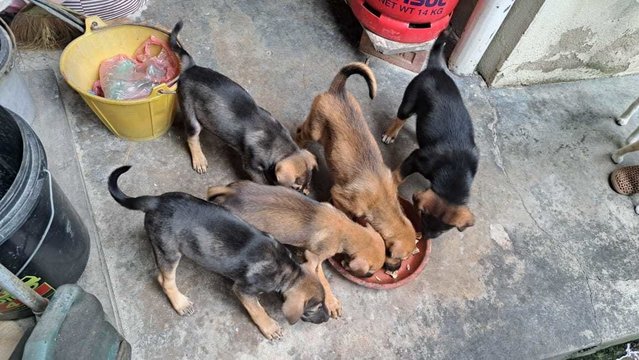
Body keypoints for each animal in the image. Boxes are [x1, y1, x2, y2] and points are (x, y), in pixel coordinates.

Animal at [107, 167, 328, 340]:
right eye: (316, 309)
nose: (327, 319)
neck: (288, 271)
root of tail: (156, 202)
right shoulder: (244, 290)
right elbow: (257, 309)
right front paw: (269, 326)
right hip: (169, 250)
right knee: (165, 279)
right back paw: (180, 303)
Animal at [169, 21, 316, 193]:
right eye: (295, 187)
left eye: (308, 183)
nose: (304, 194)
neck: (278, 144)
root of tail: (191, 68)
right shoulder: (251, 167)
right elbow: (263, 182)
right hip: (190, 112)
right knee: (192, 137)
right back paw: (199, 160)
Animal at [208, 180, 384, 318]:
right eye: (370, 271)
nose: (371, 275)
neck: (346, 229)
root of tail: (231, 191)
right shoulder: (316, 257)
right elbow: (324, 281)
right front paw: (332, 302)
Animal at [296, 62, 418, 270]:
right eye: (399, 257)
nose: (395, 268)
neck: (384, 202)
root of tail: (338, 92)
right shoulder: (340, 196)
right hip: (314, 130)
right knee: (300, 131)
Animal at [380, 30, 480, 239]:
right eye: (423, 217)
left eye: (441, 232)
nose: (424, 237)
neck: (456, 169)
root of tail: (436, 69)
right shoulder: (416, 158)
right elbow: (399, 176)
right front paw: (392, 186)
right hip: (409, 101)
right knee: (401, 117)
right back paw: (391, 133)